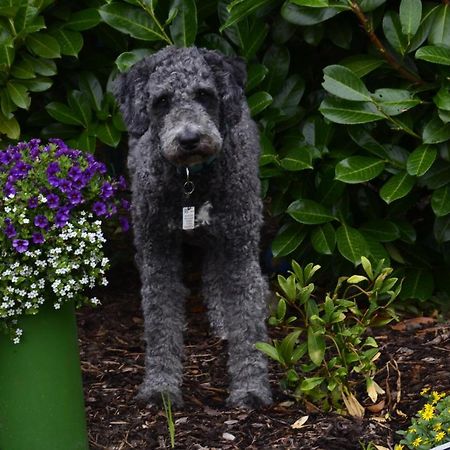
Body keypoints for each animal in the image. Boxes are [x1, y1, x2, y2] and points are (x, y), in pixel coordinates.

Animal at [114, 45, 272, 408]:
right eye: (161, 101)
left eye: (203, 94)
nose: (189, 138)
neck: (191, 180)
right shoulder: (158, 255)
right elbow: (160, 323)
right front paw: (160, 387)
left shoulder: (240, 250)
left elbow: (248, 323)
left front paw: (250, 388)